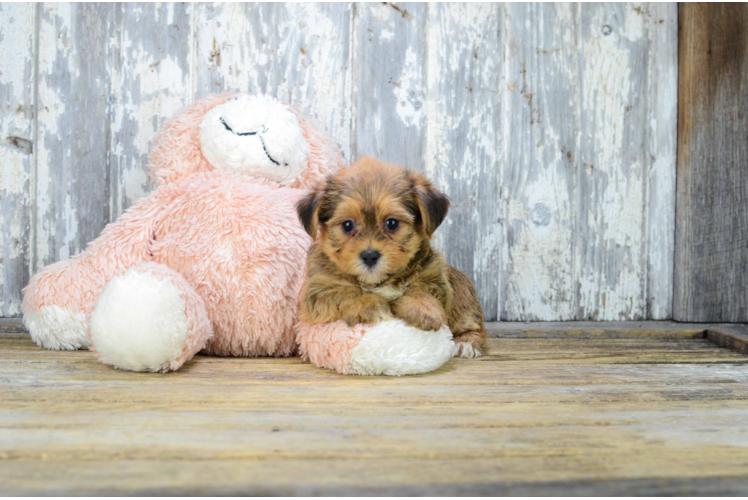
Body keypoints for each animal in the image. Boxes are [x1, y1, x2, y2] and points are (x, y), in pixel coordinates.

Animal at [296, 156, 488, 356]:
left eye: (392, 223)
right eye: (347, 225)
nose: (370, 256)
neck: (379, 282)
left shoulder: (435, 276)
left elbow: (423, 290)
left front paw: (422, 308)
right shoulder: (317, 289)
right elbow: (344, 291)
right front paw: (368, 304)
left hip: (463, 298)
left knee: (474, 326)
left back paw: (466, 342)